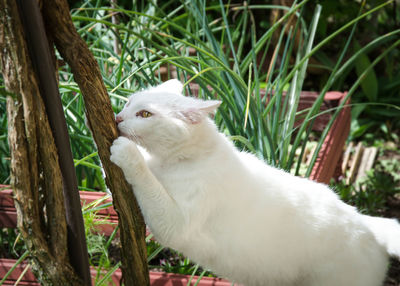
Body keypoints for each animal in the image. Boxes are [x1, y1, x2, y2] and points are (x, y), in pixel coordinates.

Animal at [109, 79, 400, 284]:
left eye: (145, 114)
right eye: (129, 102)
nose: (118, 118)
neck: (171, 161)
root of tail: (367, 222)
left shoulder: (175, 224)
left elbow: (146, 181)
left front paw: (126, 153)